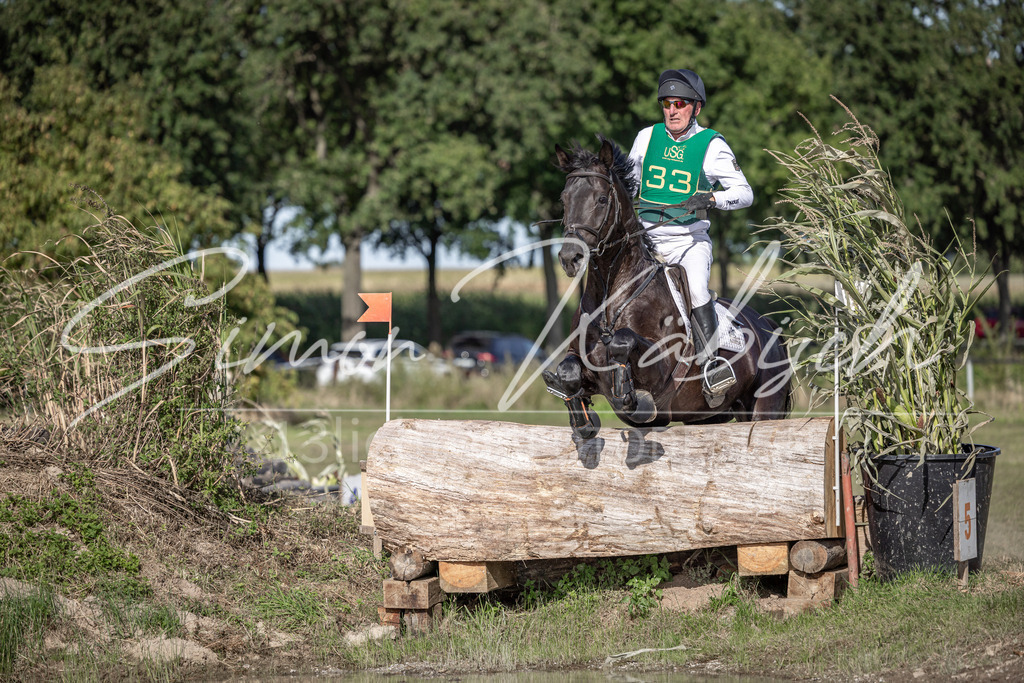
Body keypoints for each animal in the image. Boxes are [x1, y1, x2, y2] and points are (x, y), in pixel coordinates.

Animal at [542, 135, 792, 440]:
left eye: (601, 199)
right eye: (564, 199)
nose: (570, 258)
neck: (613, 298)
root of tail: (768, 326)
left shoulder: (659, 371)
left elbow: (623, 341)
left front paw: (630, 396)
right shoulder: (586, 365)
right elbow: (568, 370)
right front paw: (582, 418)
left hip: (765, 406)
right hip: (708, 416)